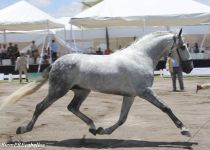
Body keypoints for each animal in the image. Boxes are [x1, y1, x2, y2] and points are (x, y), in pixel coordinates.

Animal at [6, 29, 194, 137]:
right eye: (183, 46)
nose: (190, 67)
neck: (141, 57)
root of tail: (56, 62)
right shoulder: (145, 91)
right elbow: (166, 108)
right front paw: (184, 129)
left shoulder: (131, 95)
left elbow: (123, 118)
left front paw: (105, 131)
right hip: (58, 90)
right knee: (40, 106)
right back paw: (24, 129)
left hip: (82, 91)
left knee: (72, 107)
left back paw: (94, 127)